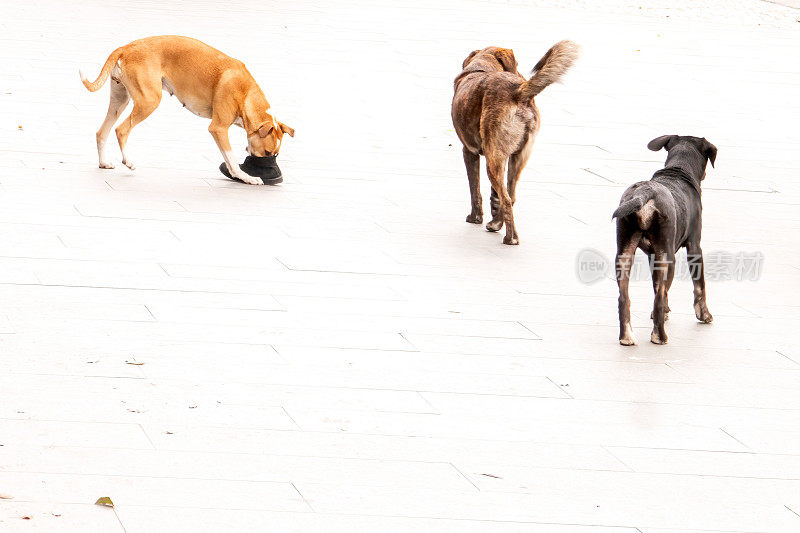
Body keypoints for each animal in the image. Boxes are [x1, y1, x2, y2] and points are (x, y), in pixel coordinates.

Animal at [79, 35, 294, 184]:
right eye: (268, 152)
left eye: (276, 154)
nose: (267, 166)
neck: (246, 92)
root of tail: (125, 48)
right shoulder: (218, 128)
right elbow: (231, 159)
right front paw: (246, 177)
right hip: (149, 101)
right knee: (121, 130)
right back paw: (129, 161)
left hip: (120, 100)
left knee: (102, 132)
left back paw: (104, 163)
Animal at [454, 40, 580, 244]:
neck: (483, 67)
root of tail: (518, 91)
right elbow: (494, 195)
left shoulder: (469, 151)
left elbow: (475, 190)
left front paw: (475, 218)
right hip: (515, 158)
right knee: (510, 196)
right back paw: (497, 225)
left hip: (493, 161)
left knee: (506, 198)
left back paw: (510, 237)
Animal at [612, 135, 720, 344]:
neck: (678, 171)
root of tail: (644, 195)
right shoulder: (695, 247)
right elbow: (699, 285)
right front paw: (704, 315)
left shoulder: (652, 256)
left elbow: (656, 286)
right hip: (668, 257)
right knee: (660, 298)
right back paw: (659, 336)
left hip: (624, 253)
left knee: (625, 298)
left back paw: (627, 337)